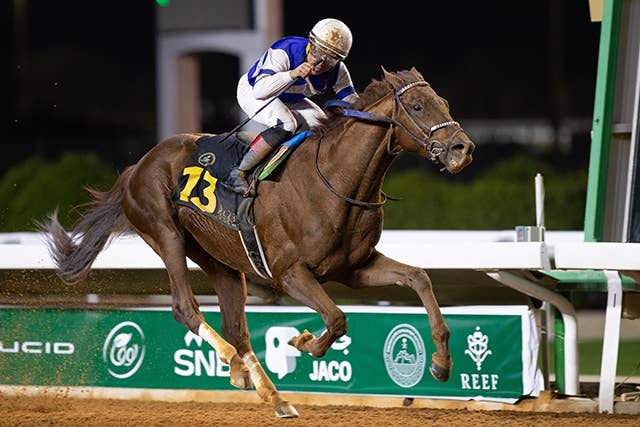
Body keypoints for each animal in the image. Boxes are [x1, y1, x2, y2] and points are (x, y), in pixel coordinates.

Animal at [39, 67, 475, 418]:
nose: (462, 148)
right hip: (165, 233)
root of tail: (138, 165)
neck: (334, 180)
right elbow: (336, 319)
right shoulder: (289, 273)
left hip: (220, 257)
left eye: (444, 102)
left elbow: (418, 278)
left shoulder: (353, 267)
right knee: (186, 308)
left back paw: (275, 396)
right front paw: (302, 341)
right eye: (417, 106)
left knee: (236, 326)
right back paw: (234, 363)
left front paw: (441, 363)